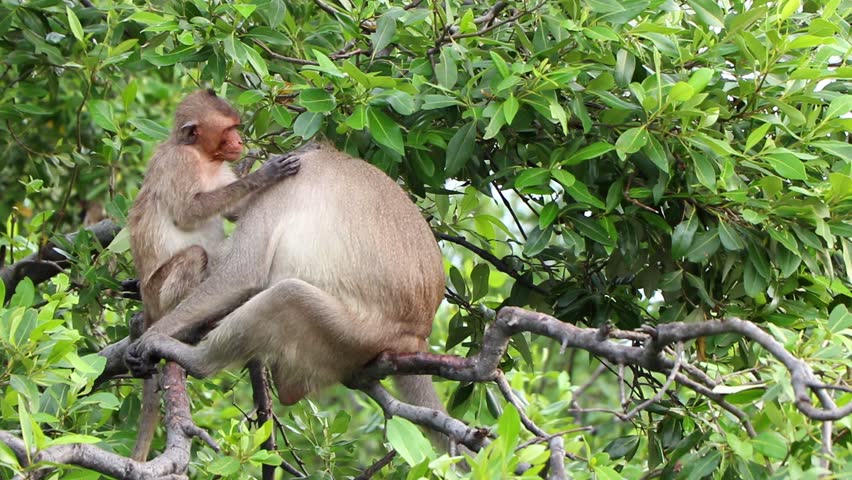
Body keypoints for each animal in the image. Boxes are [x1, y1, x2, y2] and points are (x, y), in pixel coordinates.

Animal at [125, 141, 446, 434]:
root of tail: (415, 335)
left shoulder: (281, 189)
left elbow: (244, 272)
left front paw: (153, 332)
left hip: (353, 334)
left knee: (288, 295)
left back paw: (194, 359)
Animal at [126, 90, 300, 462]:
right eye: (229, 129)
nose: (240, 141)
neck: (203, 157)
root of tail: (149, 305)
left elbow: (235, 212)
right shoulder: (178, 162)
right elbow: (189, 211)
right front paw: (266, 173)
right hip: (158, 290)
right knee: (195, 256)